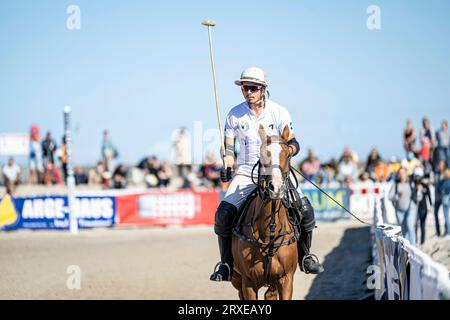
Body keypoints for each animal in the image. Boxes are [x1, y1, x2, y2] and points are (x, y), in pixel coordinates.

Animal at [230, 124, 300, 298]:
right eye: (261, 155)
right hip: (236, 280)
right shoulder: (248, 282)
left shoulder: (286, 280)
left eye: (288, 155)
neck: (270, 231)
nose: (276, 187)